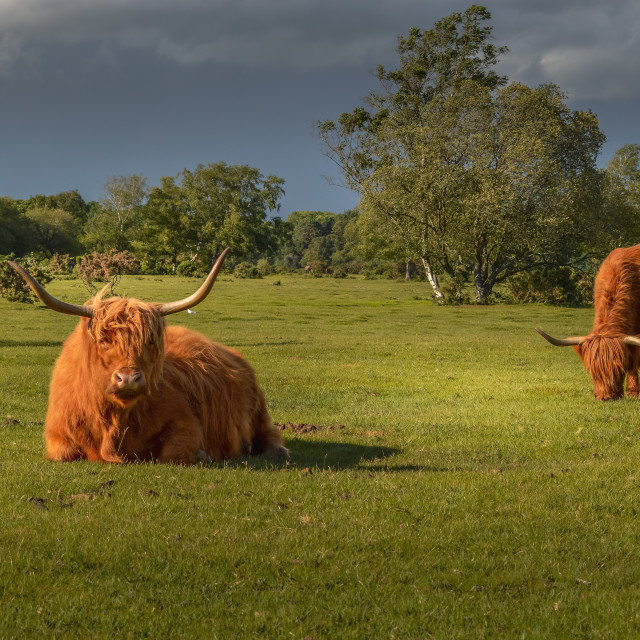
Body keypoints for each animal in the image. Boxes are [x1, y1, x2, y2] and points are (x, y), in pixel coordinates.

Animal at [9, 250, 288, 464]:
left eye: (149, 341)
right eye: (104, 340)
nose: (128, 379)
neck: (114, 419)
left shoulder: (186, 422)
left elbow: (174, 453)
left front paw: (202, 454)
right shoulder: (59, 435)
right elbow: (63, 453)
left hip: (259, 411)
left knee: (270, 434)